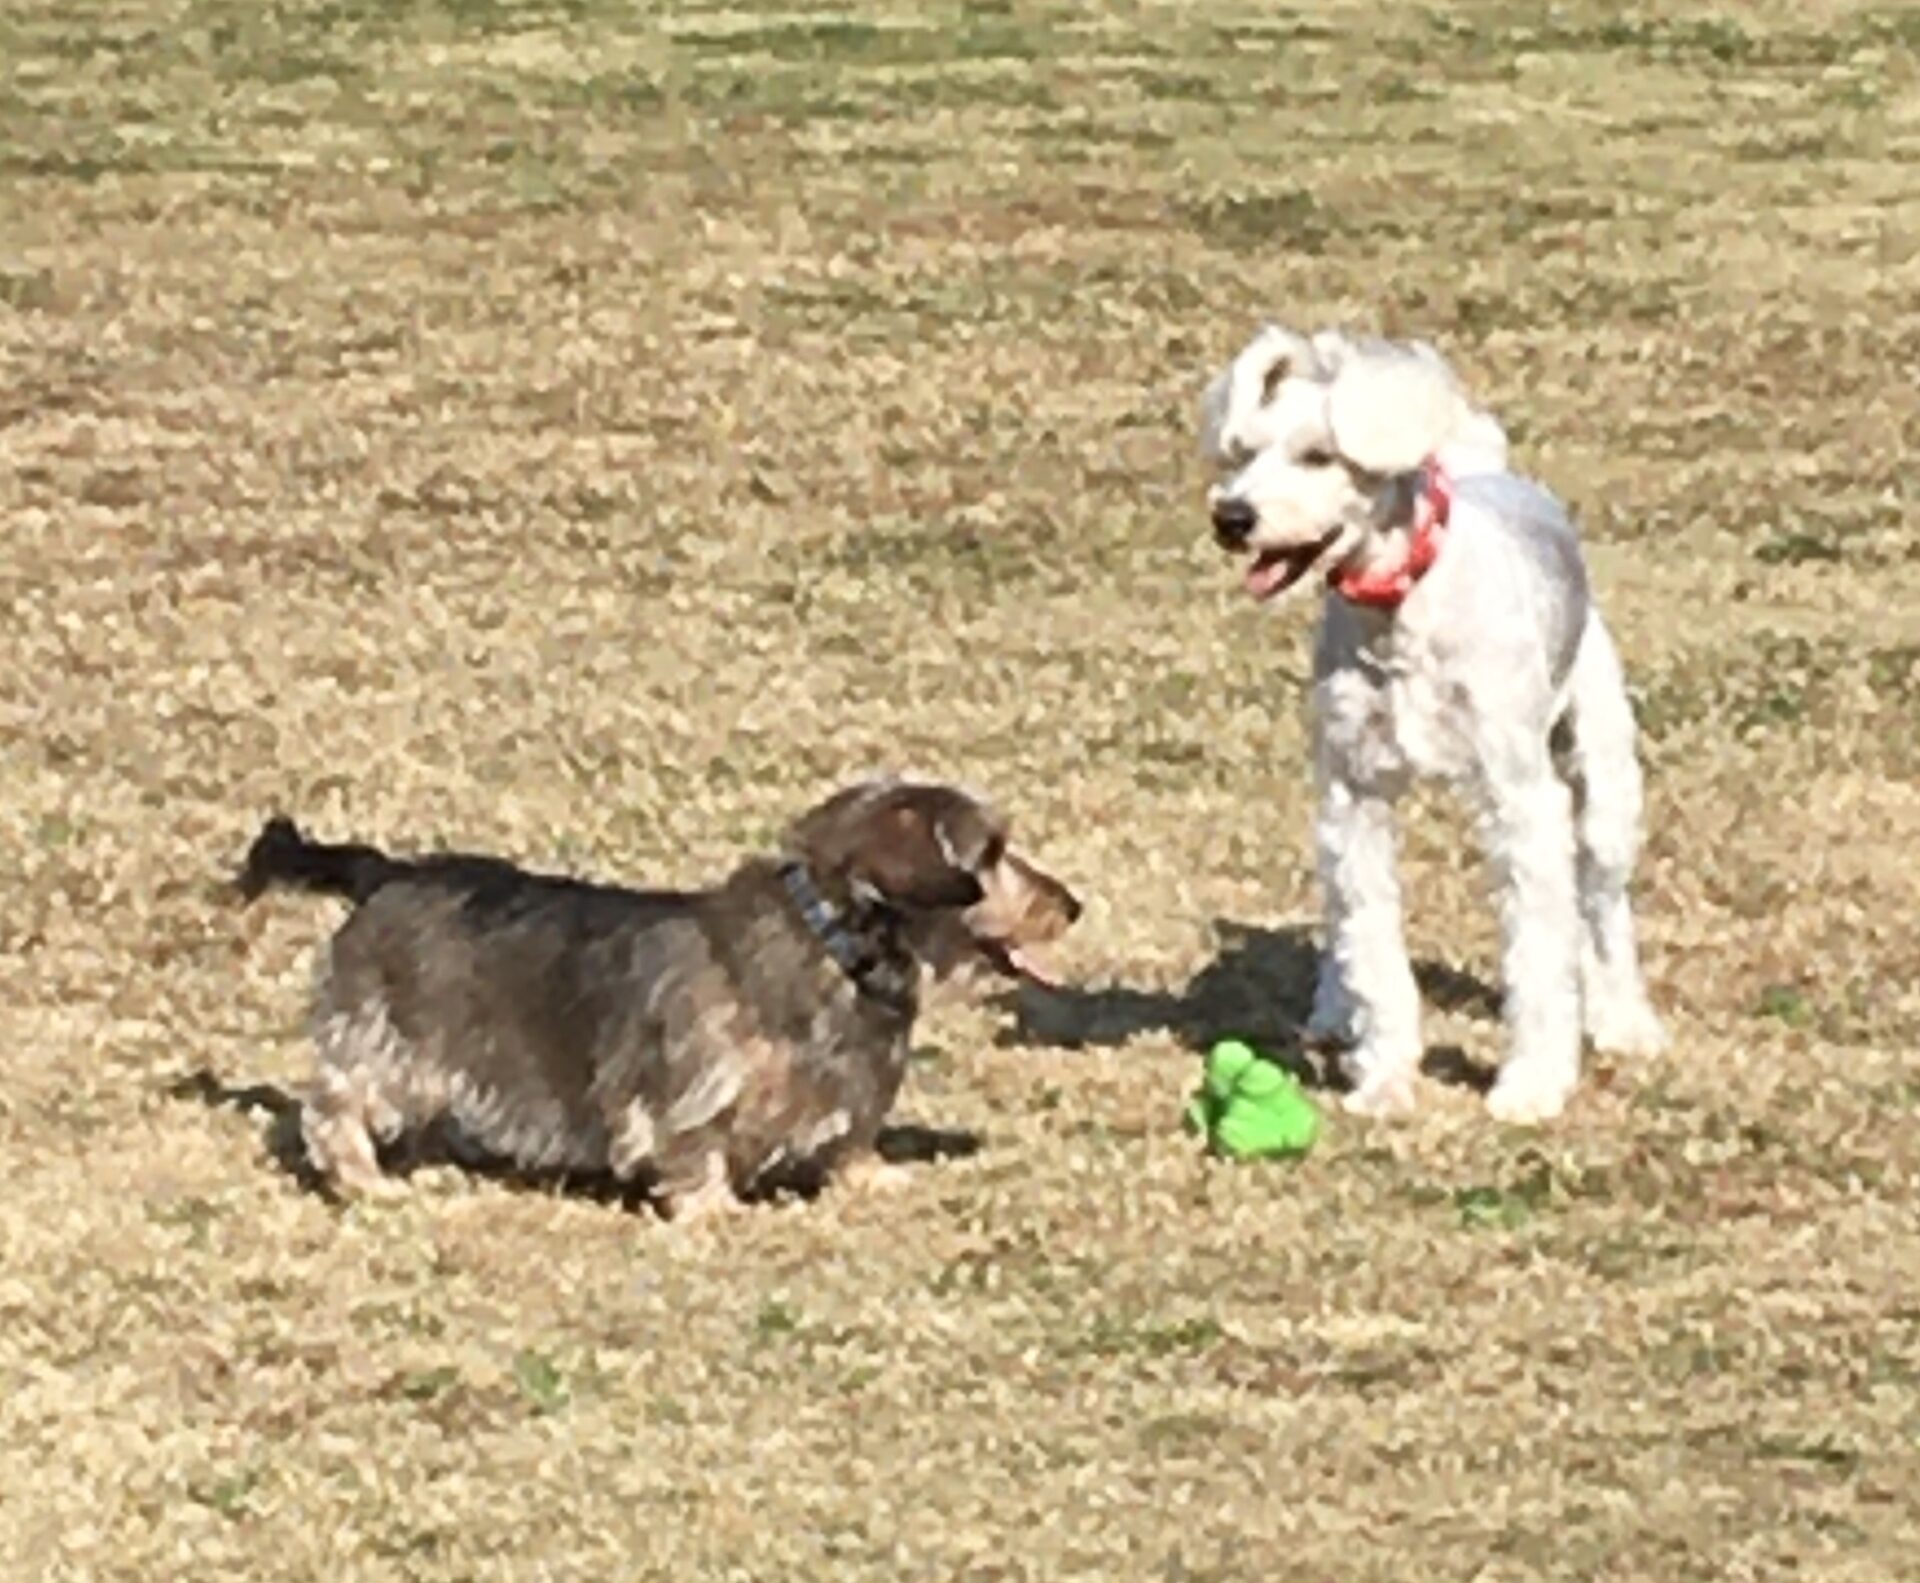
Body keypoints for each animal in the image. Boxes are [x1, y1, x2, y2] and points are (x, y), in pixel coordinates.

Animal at [236, 780, 1080, 1216]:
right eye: (992, 853)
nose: (1071, 904)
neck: (835, 949)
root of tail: (383, 871)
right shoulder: (690, 1095)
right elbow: (695, 1150)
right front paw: (715, 1212)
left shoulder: (853, 1092)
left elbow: (850, 1142)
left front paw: (874, 1177)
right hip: (386, 1045)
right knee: (333, 1109)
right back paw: (364, 1178)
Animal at [1200, 326, 1664, 1123]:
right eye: (1244, 453)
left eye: (1318, 455)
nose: (1231, 518)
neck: (1399, 608)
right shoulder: (1354, 800)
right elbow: (1373, 947)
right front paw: (1384, 1078)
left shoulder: (1521, 802)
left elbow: (1539, 952)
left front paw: (1531, 1084)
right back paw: (1334, 1010)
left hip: (1602, 778)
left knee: (1602, 903)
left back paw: (1623, 1020)